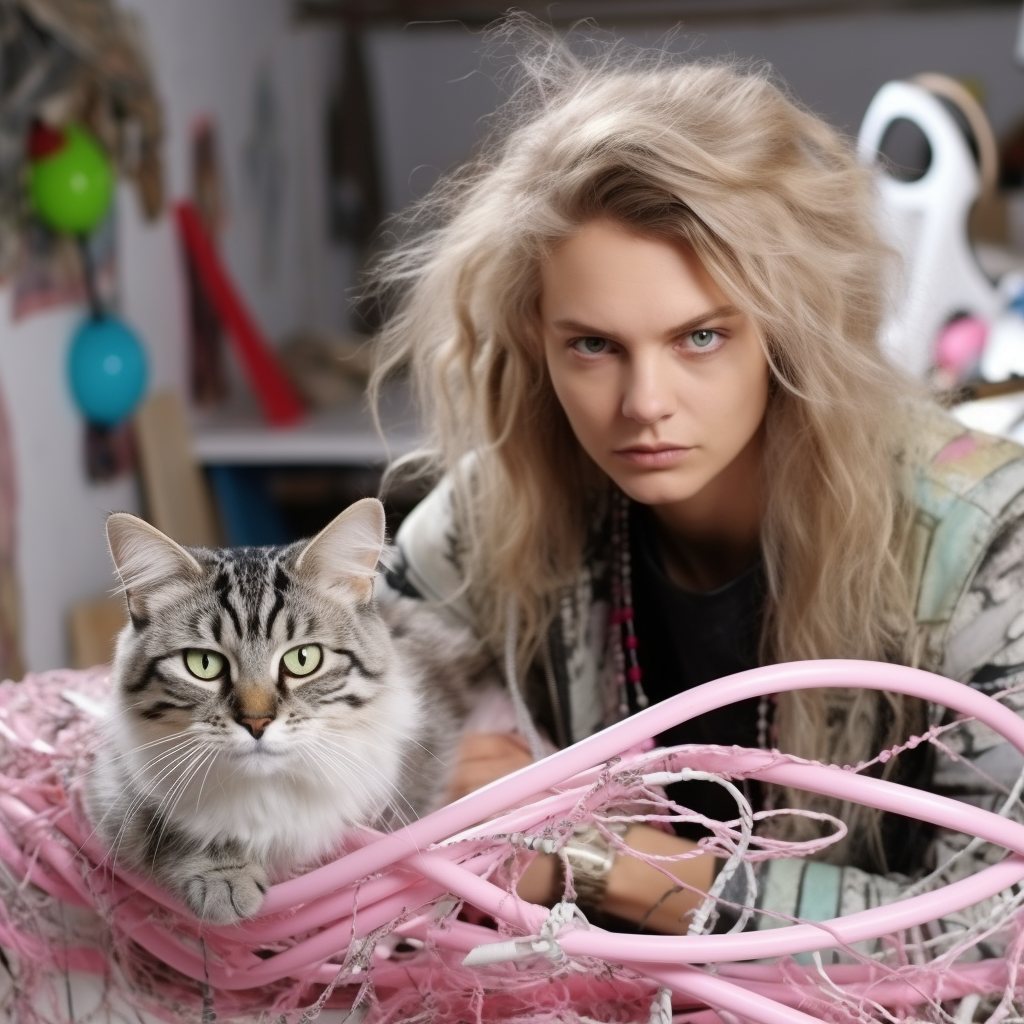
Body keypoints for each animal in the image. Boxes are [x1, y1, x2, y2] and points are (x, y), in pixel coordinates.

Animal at [88, 499, 487, 925]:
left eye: (303, 659)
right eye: (203, 664)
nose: (256, 723)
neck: (267, 789)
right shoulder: (114, 787)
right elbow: (163, 831)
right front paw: (223, 877)